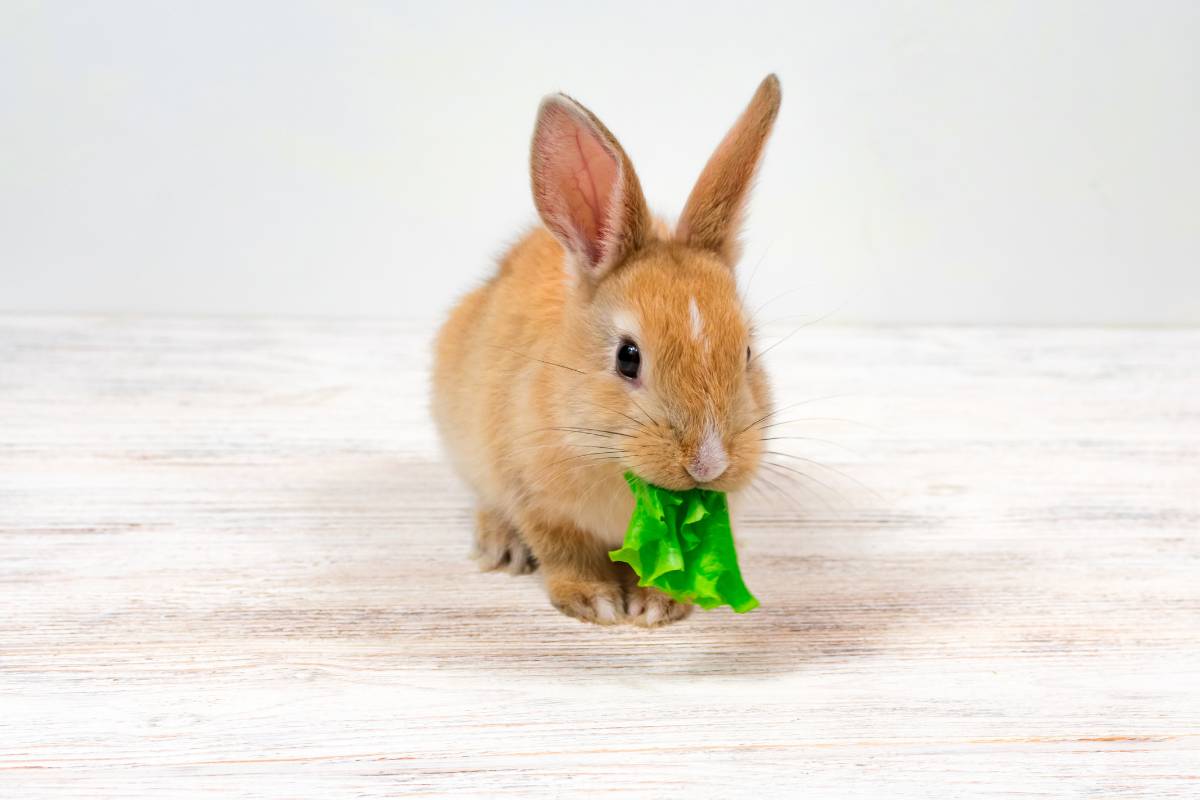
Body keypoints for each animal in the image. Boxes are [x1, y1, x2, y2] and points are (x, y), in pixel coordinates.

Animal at [432, 75, 781, 626]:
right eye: (627, 357)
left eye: (746, 351)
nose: (708, 466)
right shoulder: (536, 499)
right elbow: (564, 553)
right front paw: (595, 602)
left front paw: (658, 604)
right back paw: (501, 547)